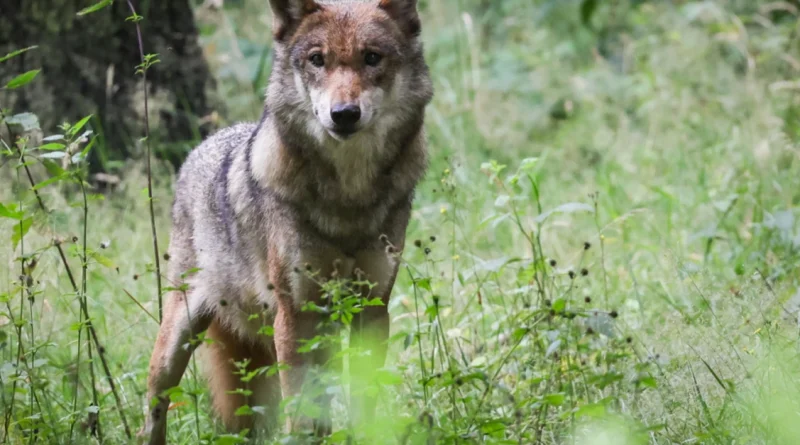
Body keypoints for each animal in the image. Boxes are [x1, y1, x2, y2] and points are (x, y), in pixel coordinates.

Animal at [138, 0, 433, 443]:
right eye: (317, 60)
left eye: (372, 58)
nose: (344, 114)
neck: (348, 198)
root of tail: (204, 144)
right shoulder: (296, 315)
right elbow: (301, 412)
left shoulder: (371, 309)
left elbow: (364, 402)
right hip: (177, 341)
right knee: (154, 409)